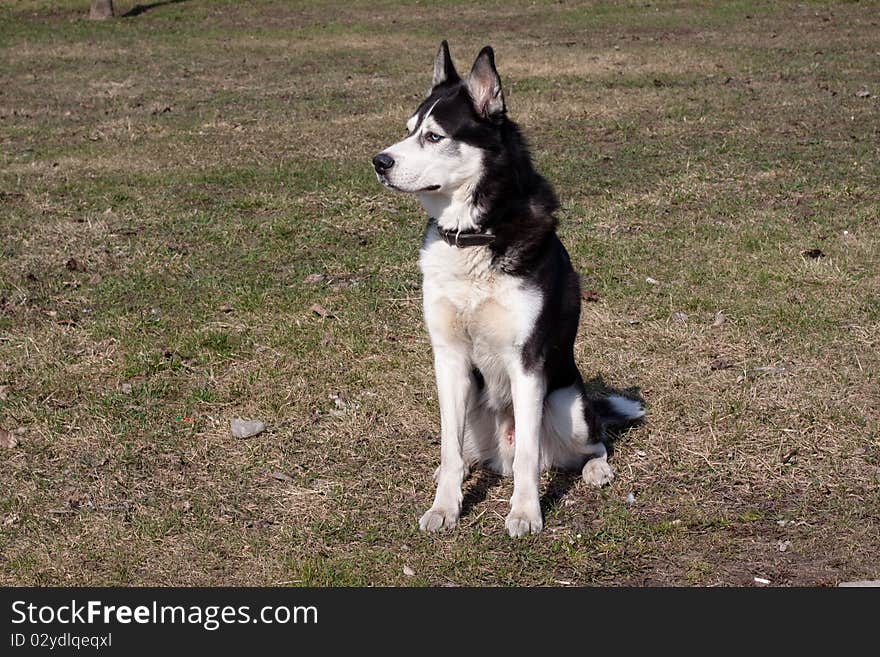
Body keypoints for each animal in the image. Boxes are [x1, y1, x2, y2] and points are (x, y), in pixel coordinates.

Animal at [372, 41, 648, 536]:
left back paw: (597, 469)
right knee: (469, 452)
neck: (476, 235)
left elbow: (527, 460)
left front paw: (524, 512)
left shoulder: (527, 362)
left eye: (434, 137)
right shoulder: (448, 358)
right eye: (408, 130)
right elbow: (449, 449)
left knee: (588, 444)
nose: (379, 161)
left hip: (566, 405)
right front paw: (445, 507)